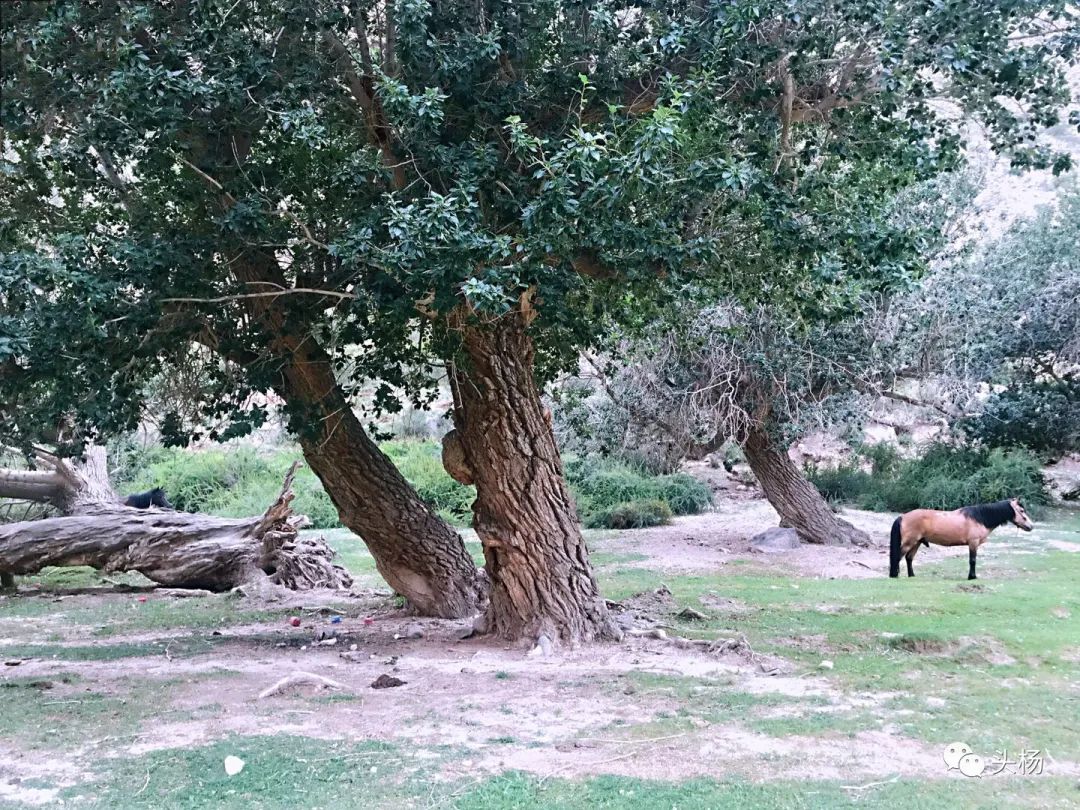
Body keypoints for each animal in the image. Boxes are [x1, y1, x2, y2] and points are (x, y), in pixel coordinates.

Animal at [889, 498, 1032, 578]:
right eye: (1022, 510)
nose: (1031, 526)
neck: (980, 518)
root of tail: (903, 516)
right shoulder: (973, 543)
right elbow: (972, 561)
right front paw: (972, 577)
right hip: (909, 542)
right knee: (898, 557)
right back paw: (894, 575)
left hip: (917, 543)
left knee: (909, 558)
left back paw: (912, 576)